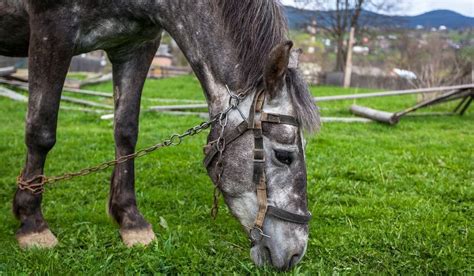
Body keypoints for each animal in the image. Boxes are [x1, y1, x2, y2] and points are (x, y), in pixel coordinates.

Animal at [0, 0, 318, 270]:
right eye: (284, 156)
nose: (295, 253)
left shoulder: (136, 45)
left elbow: (126, 131)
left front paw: (130, 220)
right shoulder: (52, 31)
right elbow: (41, 129)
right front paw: (32, 223)